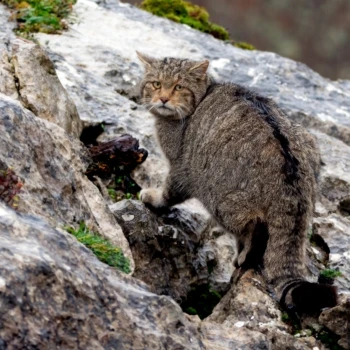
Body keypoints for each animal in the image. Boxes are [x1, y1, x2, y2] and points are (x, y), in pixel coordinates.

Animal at [136, 50, 336, 314]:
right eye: (157, 83)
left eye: (178, 86)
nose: (163, 99)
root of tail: (293, 180)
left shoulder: (181, 170)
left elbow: (168, 193)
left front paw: (152, 197)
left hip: (220, 199)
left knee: (253, 228)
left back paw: (245, 256)